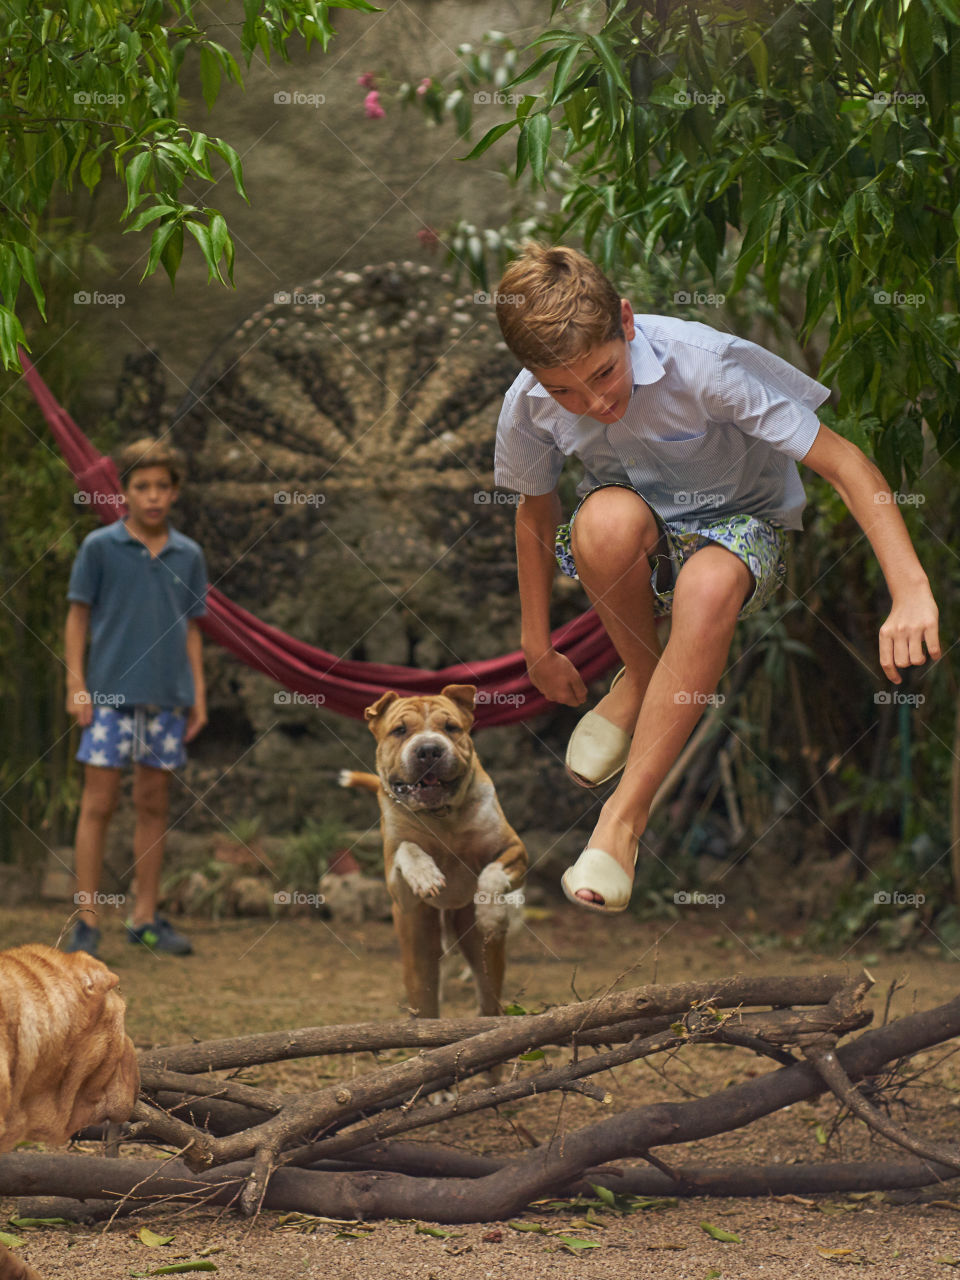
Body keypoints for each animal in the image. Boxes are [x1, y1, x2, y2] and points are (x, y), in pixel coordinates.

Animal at [343, 686, 529, 1013]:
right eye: (400, 730)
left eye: (451, 727)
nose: (429, 749)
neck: (442, 817)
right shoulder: (400, 891)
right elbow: (407, 848)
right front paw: (424, 874)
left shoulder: (514, 851)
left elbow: (492, 872)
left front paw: (491, 913)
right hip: (418, 953)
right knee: (425, 999)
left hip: (484, 959)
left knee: (487, 994)